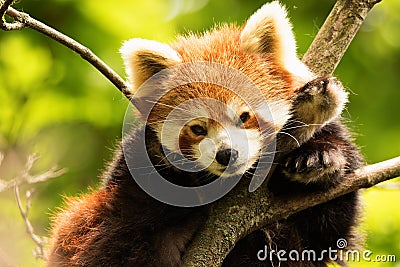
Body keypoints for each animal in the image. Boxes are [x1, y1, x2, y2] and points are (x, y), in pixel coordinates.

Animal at [47, 1, 362, 266]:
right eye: (198, 128)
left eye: (244, 116)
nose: (227, 154)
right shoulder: (130, 174)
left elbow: (327, 227)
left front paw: (318, 158)